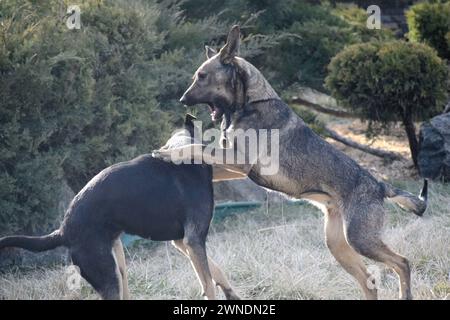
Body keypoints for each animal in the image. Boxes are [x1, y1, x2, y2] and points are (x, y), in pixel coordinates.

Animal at [0, 115, 239, 300]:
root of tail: (63, 231)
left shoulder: (182, 242)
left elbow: (215, 271)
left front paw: (231, 294)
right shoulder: (193, 239)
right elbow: (207, 282)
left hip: (119, 266)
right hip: (108, 274)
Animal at [156, 25, 428, 300]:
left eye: (202, 76)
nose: (182, 100)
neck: (250, 103)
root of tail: (380, 186)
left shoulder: (238, 160)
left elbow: (197, 147)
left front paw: (168, 153)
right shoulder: (232, 164)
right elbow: (201, 153)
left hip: (360, 239)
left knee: (402, 263)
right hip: (338, 245)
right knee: (369, 280)